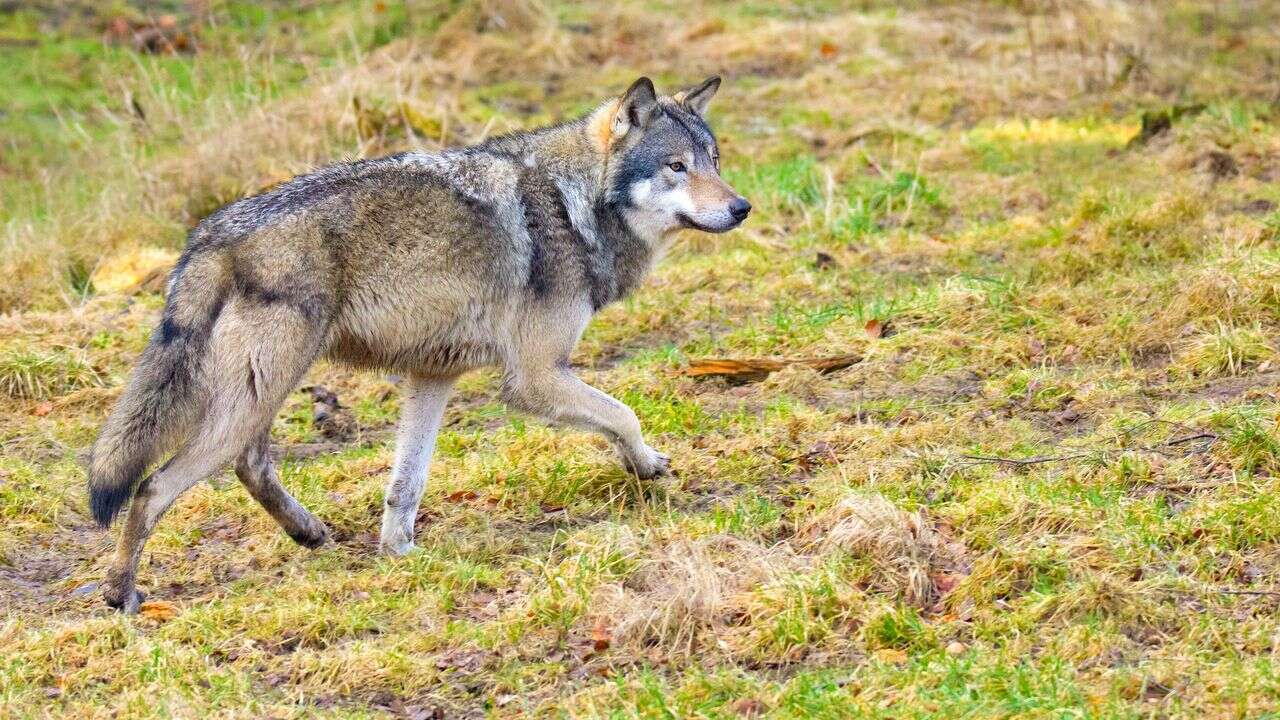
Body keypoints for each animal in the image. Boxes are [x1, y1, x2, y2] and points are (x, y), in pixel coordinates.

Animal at [85, 75, 747, 607]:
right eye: (677, 167)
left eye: (713, 160)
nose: (742, 207)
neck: (574, 203)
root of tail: (209, 234)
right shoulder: (534, 377)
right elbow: (624, 415)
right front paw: (647, 465)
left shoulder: (433, 375)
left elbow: (406, 484)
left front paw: (399, 554)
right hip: (259, 393)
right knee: (153, 487)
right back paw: (122, 593)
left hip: (258, 396)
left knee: (250, 465)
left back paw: (309, 533)